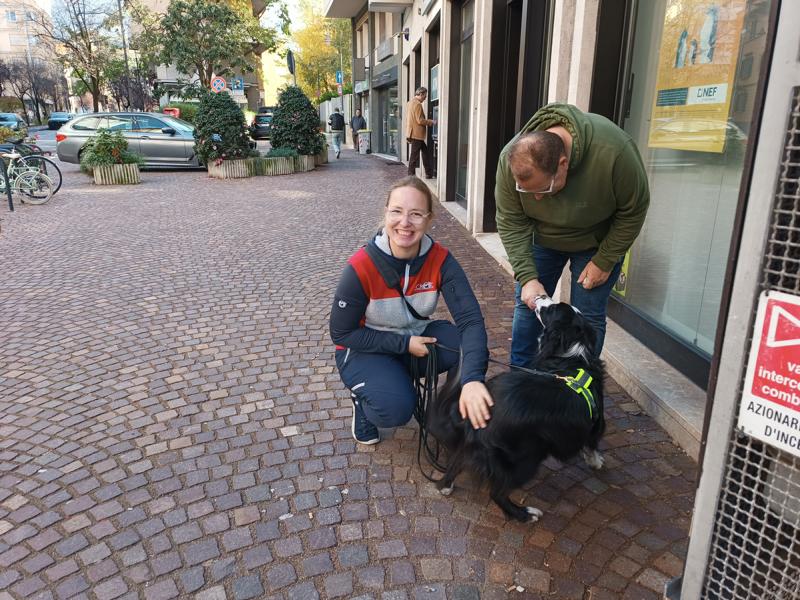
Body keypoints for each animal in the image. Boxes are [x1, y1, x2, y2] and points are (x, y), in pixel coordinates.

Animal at [425, 300, 606, 522]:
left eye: (551, 309)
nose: (539, 299)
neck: (572, 353)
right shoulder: (596, 421)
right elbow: (593, 441)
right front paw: (596, 461)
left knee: (457, 461)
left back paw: (446, 486)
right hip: (527, 457)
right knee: (497, 493)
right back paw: (526, 514)